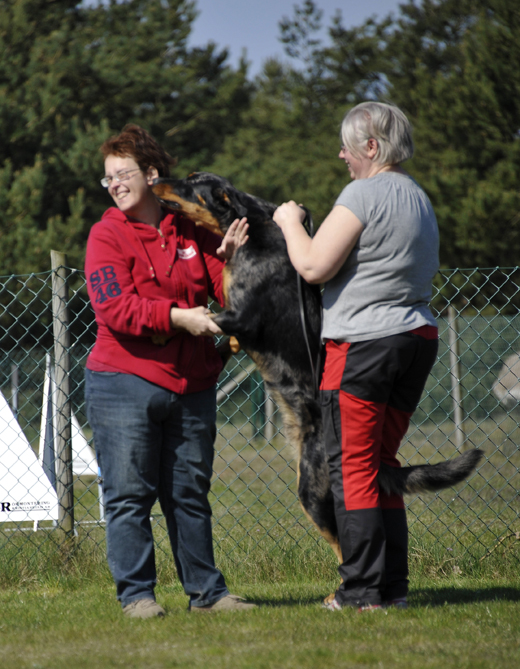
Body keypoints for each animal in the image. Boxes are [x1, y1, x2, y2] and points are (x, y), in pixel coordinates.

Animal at [152, 171, 486, 560]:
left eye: (191, 182)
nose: (157, 179)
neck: (254, 230)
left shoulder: (239, 315)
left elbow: (197, 318)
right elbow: (216, 336)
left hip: (312, 491)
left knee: (344, 543)